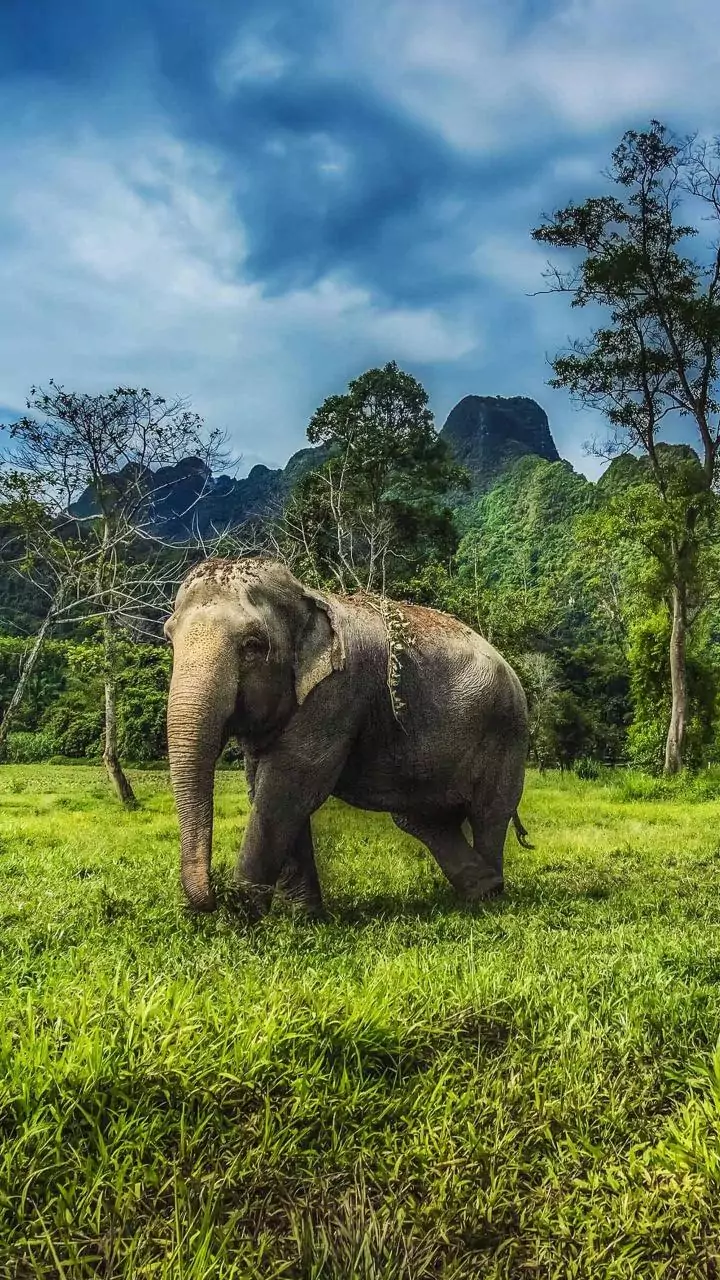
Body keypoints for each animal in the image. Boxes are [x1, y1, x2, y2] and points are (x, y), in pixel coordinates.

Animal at [164, 556, 530, 917]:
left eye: (252, 645)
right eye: (169, 636)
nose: (211, 898)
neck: (306, 595)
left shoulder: (337, 691)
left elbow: (288, 784)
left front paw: (241, 916)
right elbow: (267, 786)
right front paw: (304, 918)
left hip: (506, 732)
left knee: (488, 814)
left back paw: (490, 897)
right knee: (421, 818)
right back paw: (483, 887)